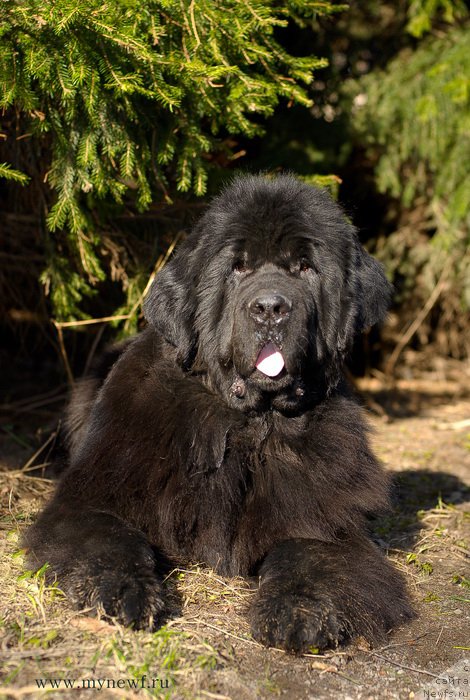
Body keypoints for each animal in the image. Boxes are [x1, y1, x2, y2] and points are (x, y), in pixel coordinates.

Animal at [25, 174, 414, 652]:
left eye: (306, 268)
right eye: (238, 267)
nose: (270, 307)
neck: (246, 425)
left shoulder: (323, 523)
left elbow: (308, 554)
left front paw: (298, 611)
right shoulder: (91, 498)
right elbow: (110, 538)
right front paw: (122, 591)